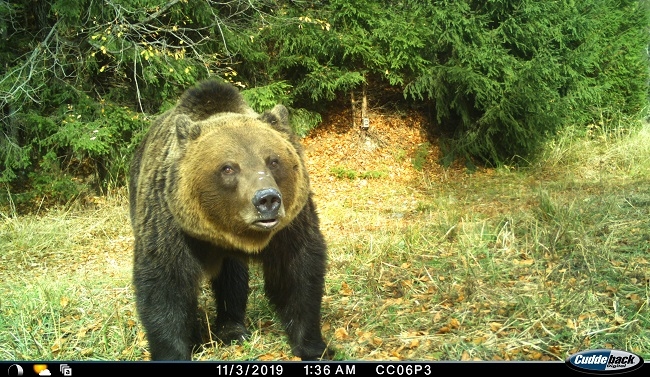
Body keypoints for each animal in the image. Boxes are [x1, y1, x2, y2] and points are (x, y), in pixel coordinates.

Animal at [128, 81, 332, 360]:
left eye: (273, 160)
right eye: (228, 167)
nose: (267, 199)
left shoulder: (290, 227)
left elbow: (297, 274)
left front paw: (314, 347)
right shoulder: (170, 223)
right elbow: (165, 282)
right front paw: (174, 351)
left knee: (232, 277)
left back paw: (233, 329)